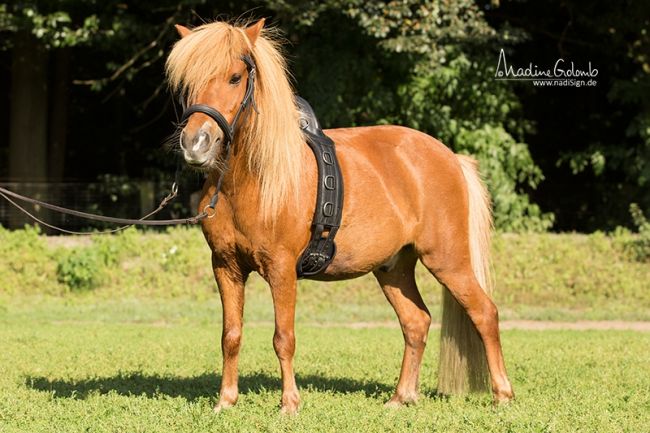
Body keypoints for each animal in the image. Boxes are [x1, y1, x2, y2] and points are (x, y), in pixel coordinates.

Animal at [165, 19, 514, 414]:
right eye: (187, 82)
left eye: (235, 77)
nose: (196, 144)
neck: (254, 179)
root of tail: (451, 157)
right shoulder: (226, 266)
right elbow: (231, 335)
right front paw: (225, 401)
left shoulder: (281, 268)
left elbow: (283, 337)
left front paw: (289, 404)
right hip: (394, 268)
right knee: (416, 322)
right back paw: (400, 398)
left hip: (448, 260)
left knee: (484, 313)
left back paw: (503, 395)